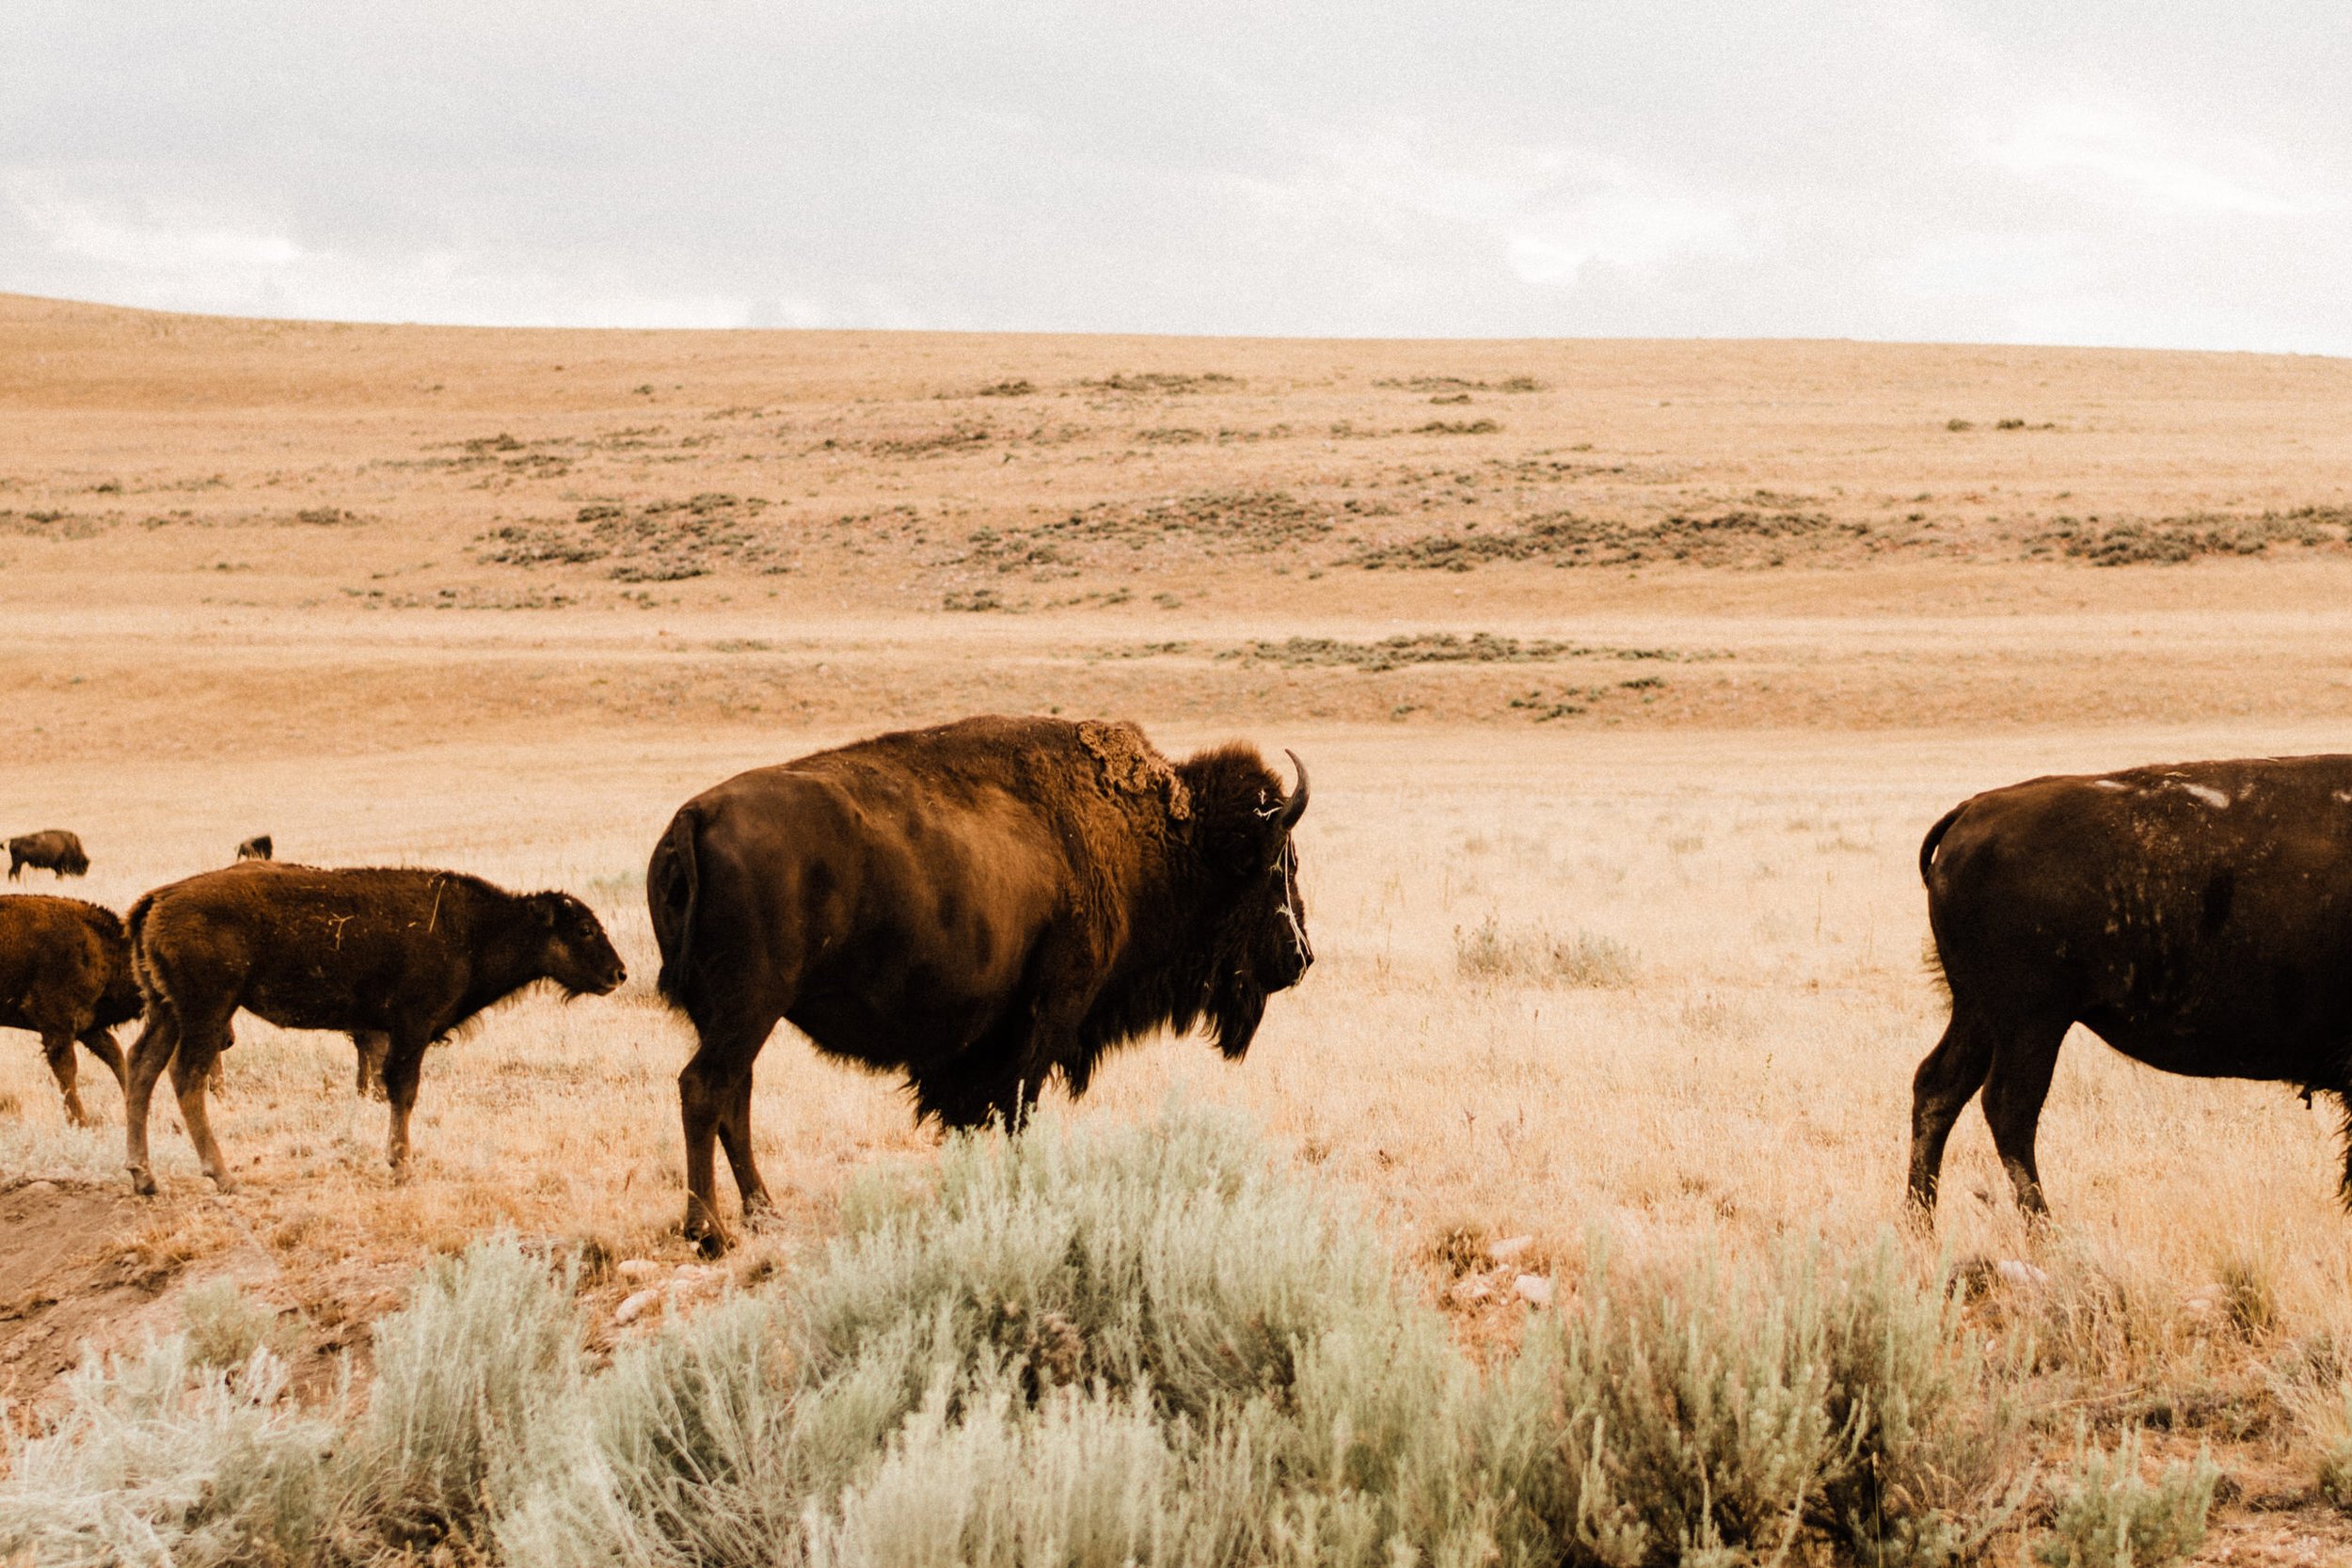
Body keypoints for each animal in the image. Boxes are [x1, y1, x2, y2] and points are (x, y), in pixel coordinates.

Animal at [121, 864, 626, 1194]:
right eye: (583, 929)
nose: (618, 974)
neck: (476, 928)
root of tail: (157, 900)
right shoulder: (411, 1028)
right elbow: (403, 1091)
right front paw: (401, 1166)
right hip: (206, 1013)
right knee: (185, 1076)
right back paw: (223, 1176)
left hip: (165, 1011)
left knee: (141, 1068)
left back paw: (144, 1177)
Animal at [649, 719, 1308, 1259]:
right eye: (1281, 863)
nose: (1301, 957)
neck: (1152, 838)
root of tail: (692, 818)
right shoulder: (1052, 1012)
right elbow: (1019, 1108)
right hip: (749, 1010)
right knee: (704, 1089)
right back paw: (710, 1233)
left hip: (734, 1020)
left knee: (735, 1095)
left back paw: (763, 1214)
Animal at [1910, 761, 2352, 1222]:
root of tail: (1973, 809)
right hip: (2030, 1021)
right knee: (2008, 1107)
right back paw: (2044, 1230)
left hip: (1979, 1014)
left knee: (1939, 1088)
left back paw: (1921, 1223)